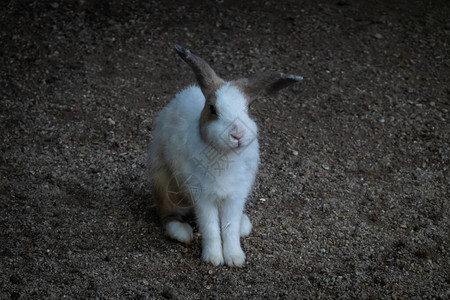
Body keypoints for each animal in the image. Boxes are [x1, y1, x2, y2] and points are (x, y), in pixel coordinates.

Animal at [149, 45, 302, 268]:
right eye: (213, 109)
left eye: (249, 108)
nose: (237, 134)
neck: (226, 155)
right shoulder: (202, 196)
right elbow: (211, 227)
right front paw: (213, 258)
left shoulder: (236, 196)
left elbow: (229, 227)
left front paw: (235, 258)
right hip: (163, 183)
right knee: (166, 214)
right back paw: (181, 232)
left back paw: (243, 225)